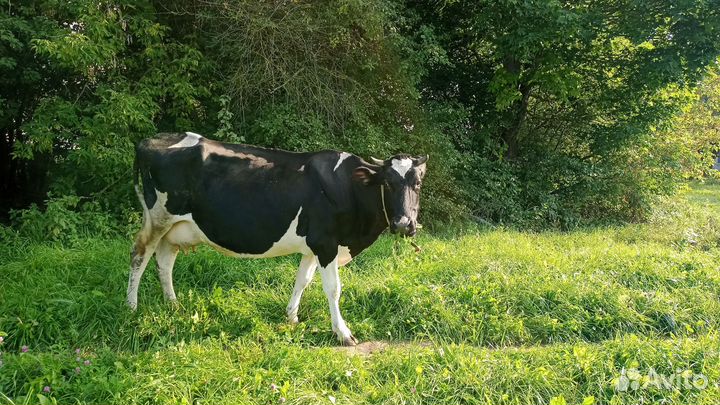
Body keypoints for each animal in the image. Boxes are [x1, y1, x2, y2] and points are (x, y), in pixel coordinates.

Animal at [128, 132, 428, 346]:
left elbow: (302, 280)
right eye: (387, 182)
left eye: (418, 183)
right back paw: (132, 307)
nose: (404, 224)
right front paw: (343, 333)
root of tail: (149, 140)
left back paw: (173, 305)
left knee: (165, 262)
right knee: (139, 256)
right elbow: (333, 289)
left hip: (174, 228)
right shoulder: (326, 243)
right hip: (157, 217)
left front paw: (291, 316)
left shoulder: (313, 246)